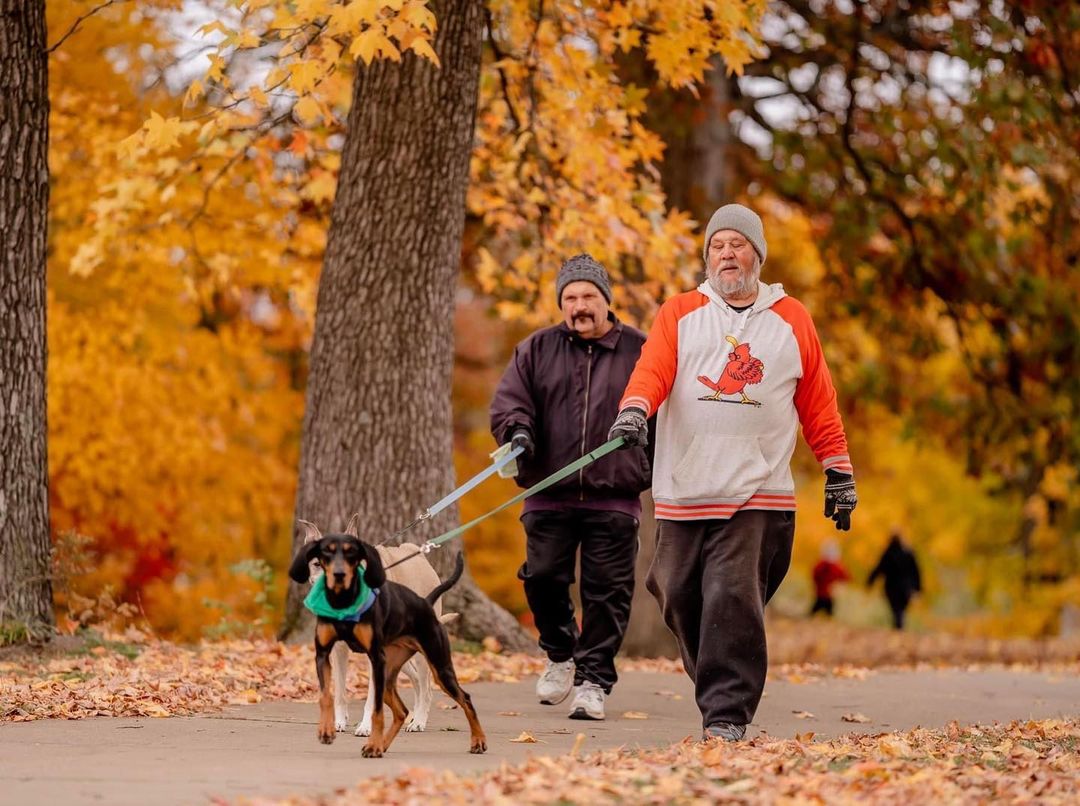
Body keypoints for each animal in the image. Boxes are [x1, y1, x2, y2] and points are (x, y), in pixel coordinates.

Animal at [289, 531, 488, 751]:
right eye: (317, 563)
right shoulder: (334, 652)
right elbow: (336, 693)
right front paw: (336, 724)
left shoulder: (373, 658)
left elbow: (371, 701)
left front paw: (365, 728)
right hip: (396, 663)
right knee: (411, 689)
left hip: (431, 659)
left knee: (436, 689)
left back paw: (422, 722)